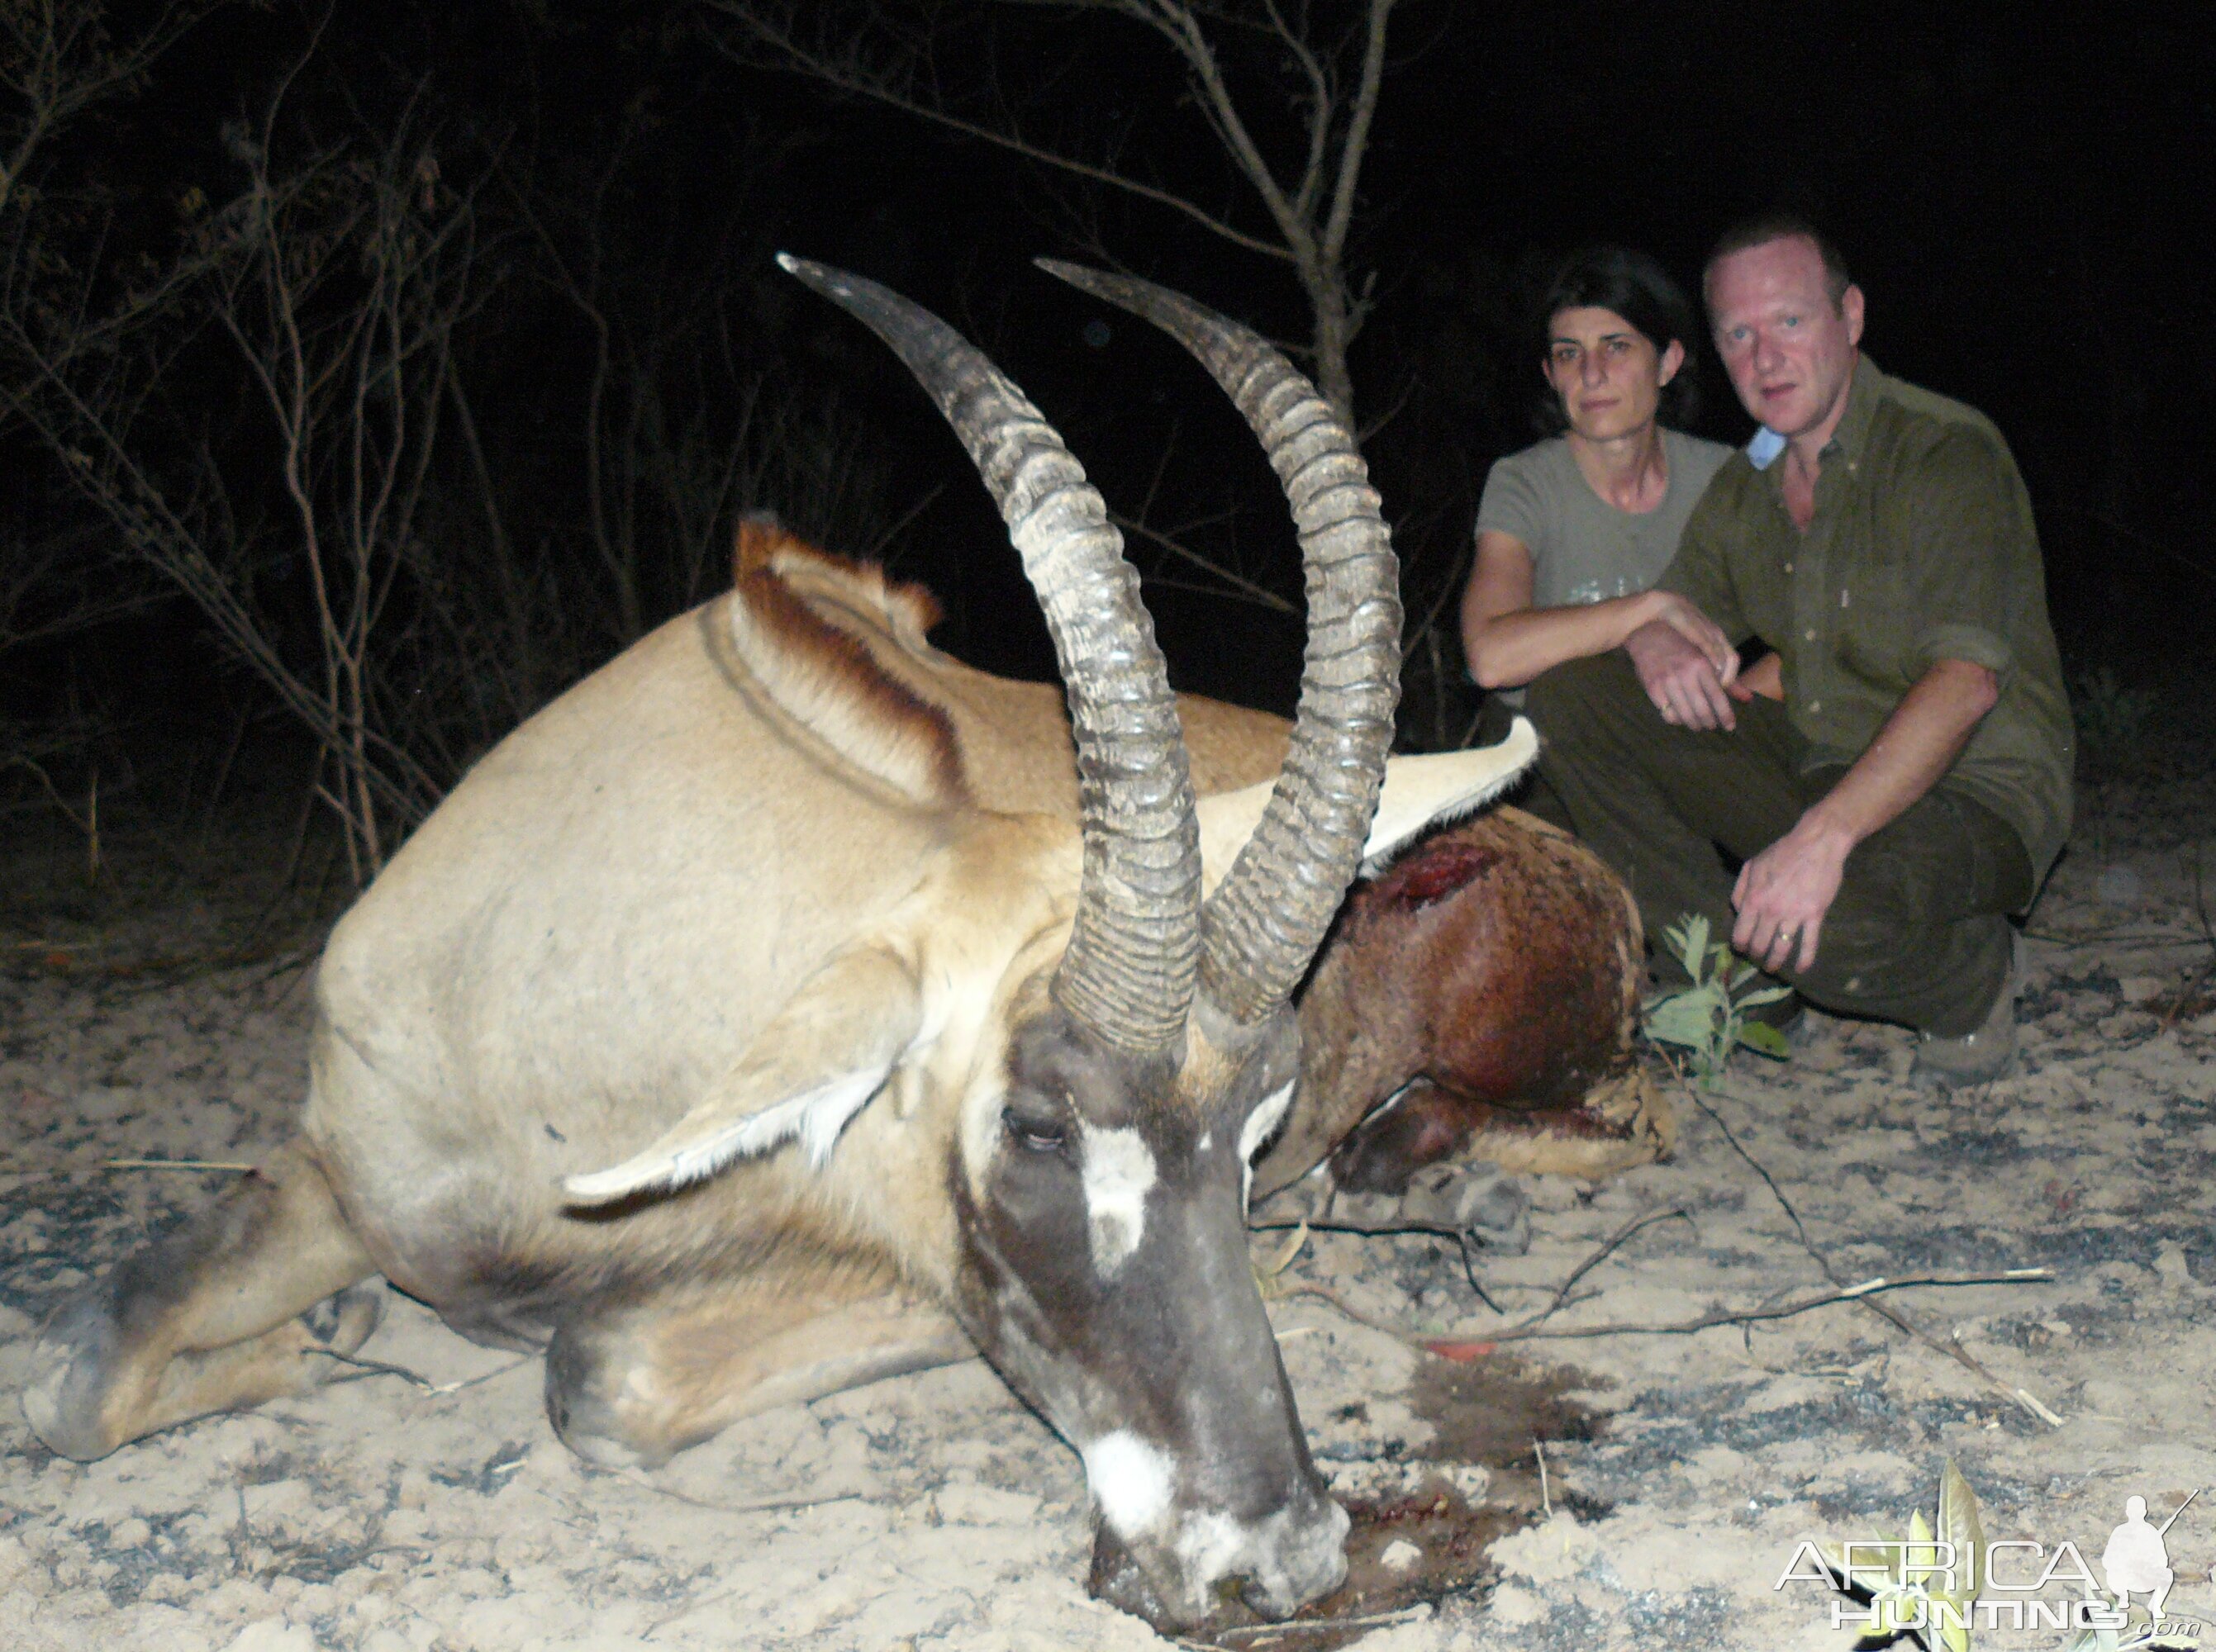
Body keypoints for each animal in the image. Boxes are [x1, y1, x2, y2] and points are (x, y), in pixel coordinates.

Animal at [30, 256, 1577, 1621]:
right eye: (1032, 1125)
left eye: (1257, 1118)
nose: (1279, 1555)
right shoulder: (338, 1178)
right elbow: (90, 1366)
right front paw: (305, 1343)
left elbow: (597, 1369)